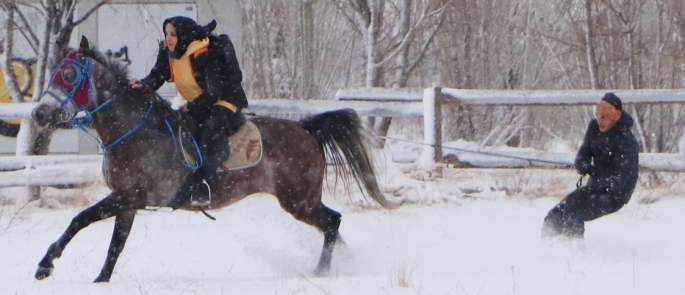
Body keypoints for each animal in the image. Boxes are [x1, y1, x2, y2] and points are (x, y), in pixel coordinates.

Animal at [32, 37, 392, 284]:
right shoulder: (128, 202)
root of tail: (305, 128)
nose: (39, 114)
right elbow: (114, 247)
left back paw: (321, 271)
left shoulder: (127, 196)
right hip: (301, 201)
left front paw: (46, 263)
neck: (134, 130)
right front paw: (99, 281)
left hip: (298, 200)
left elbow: (80, 219)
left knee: (332, 221)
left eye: (68, 74)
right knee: (332, 226)